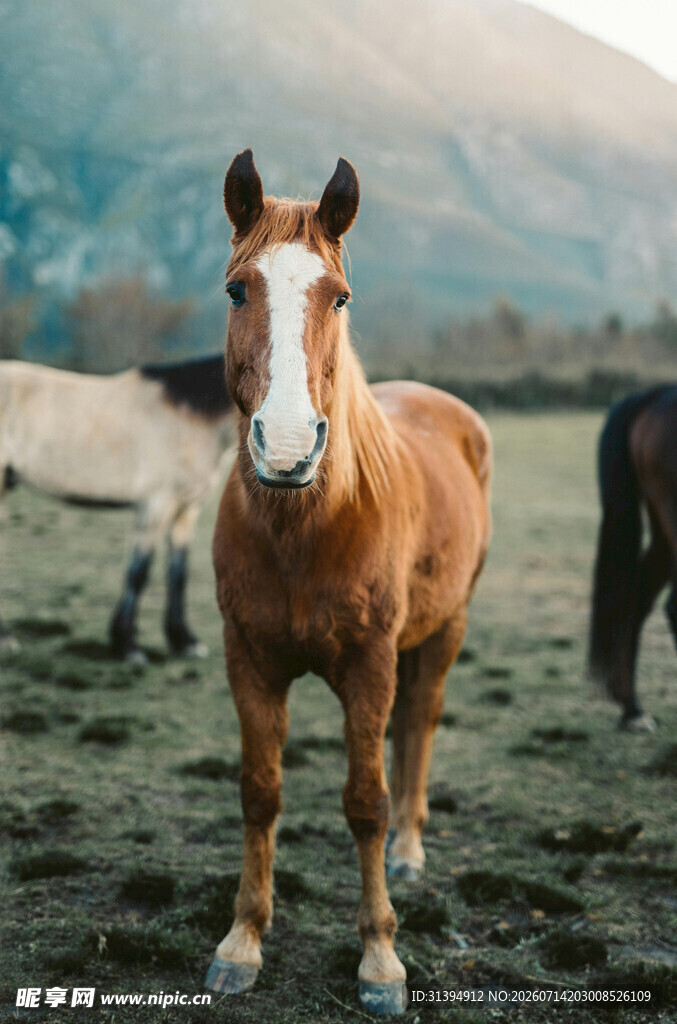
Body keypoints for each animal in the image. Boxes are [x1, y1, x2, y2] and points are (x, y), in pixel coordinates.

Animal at [0, 354, 236, 661]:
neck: (191, 415)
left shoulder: (186, 510)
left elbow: (178, 574)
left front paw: (183, 641)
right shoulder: (156, 505)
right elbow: (138, 572)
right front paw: (127, 645)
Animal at [208, 150, 492, 1014]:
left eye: (339, 296)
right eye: (237, 289)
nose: (287, 447)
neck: (304, 527)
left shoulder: (369, 662)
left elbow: (365, 801)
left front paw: (380, 959)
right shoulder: (249, 660)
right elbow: (259, 790)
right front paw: (243, 941)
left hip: (444, 631)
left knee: (419, 726)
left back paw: (409, 849)